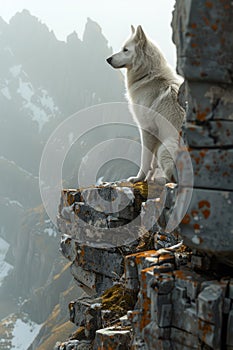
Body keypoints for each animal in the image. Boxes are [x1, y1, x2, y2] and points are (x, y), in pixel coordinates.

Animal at [106, 25, 185, 182]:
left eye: (125, 49)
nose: (108, 59)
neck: (147, 75)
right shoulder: (156, 133)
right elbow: (152, 163)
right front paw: (148, 178)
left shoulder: (147, 129)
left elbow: (145, 159)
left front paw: (138, 178)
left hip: (165, 148)